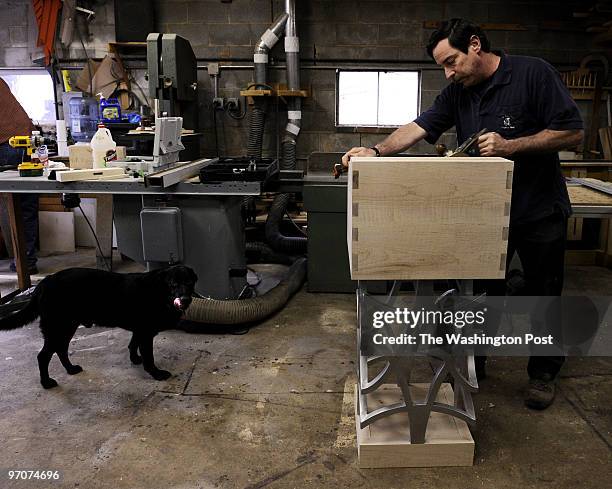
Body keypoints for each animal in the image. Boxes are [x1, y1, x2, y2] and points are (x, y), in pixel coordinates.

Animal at [0, 264, 197, 386]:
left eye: (189, 283)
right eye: (174, 284)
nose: (185, 299)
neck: (160, 290)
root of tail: (44, 282)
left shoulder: (139, 330)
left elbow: (132, 344)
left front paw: (135, 359)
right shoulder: (146, 332)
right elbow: (149, 358)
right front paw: (156, 374)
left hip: (67, 327)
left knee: (61, 350)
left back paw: (71, 369)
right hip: (57, 328)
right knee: (43, 356)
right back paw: (47, 383)